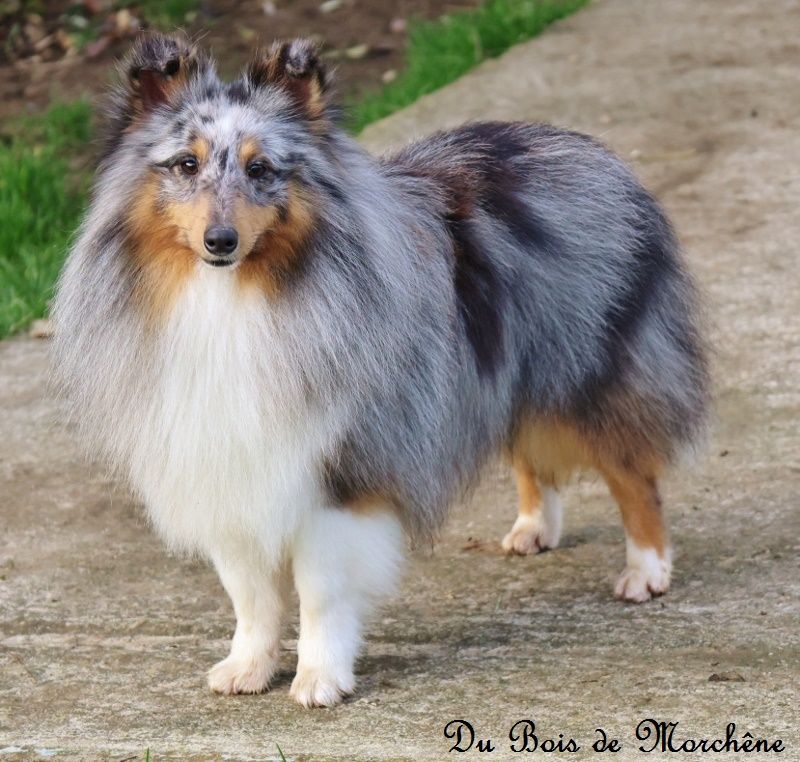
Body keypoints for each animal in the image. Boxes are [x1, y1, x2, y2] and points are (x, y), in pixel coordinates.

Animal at [53, 32, 708, 704]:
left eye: (260, 169)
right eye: (186, 165)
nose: (220, 241)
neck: (235, 299)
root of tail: (586, 147)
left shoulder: (340, 472)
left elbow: (320, 592)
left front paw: (320, 678)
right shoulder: (231, 466)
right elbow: (250, 593)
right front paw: (247, 668)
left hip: (592, 371)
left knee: (634, 476)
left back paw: (646, 571)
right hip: (503, 368)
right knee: (529, 452)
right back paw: (534, 528)